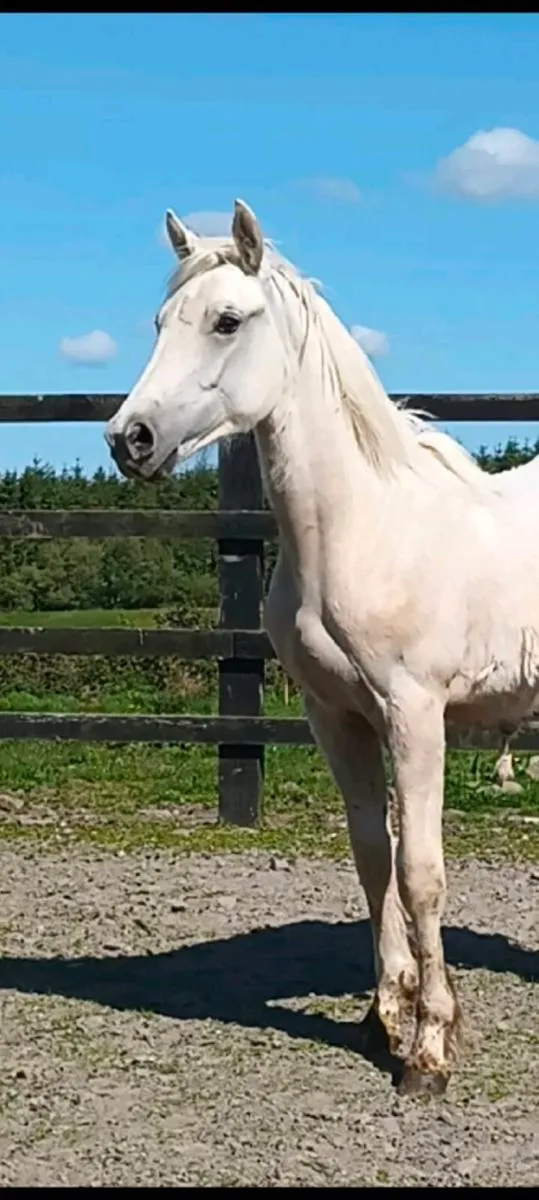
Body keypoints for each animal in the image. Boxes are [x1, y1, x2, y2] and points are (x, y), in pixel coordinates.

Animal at [105, 200, 539, 1096]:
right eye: (160, 322)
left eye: (227, 320)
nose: (128, 439)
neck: (365, 530)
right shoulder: (333, 718)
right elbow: (372, 857)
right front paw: (384, 1019)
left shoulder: (416, 718)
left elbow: (420, 873)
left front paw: (430, 1049)